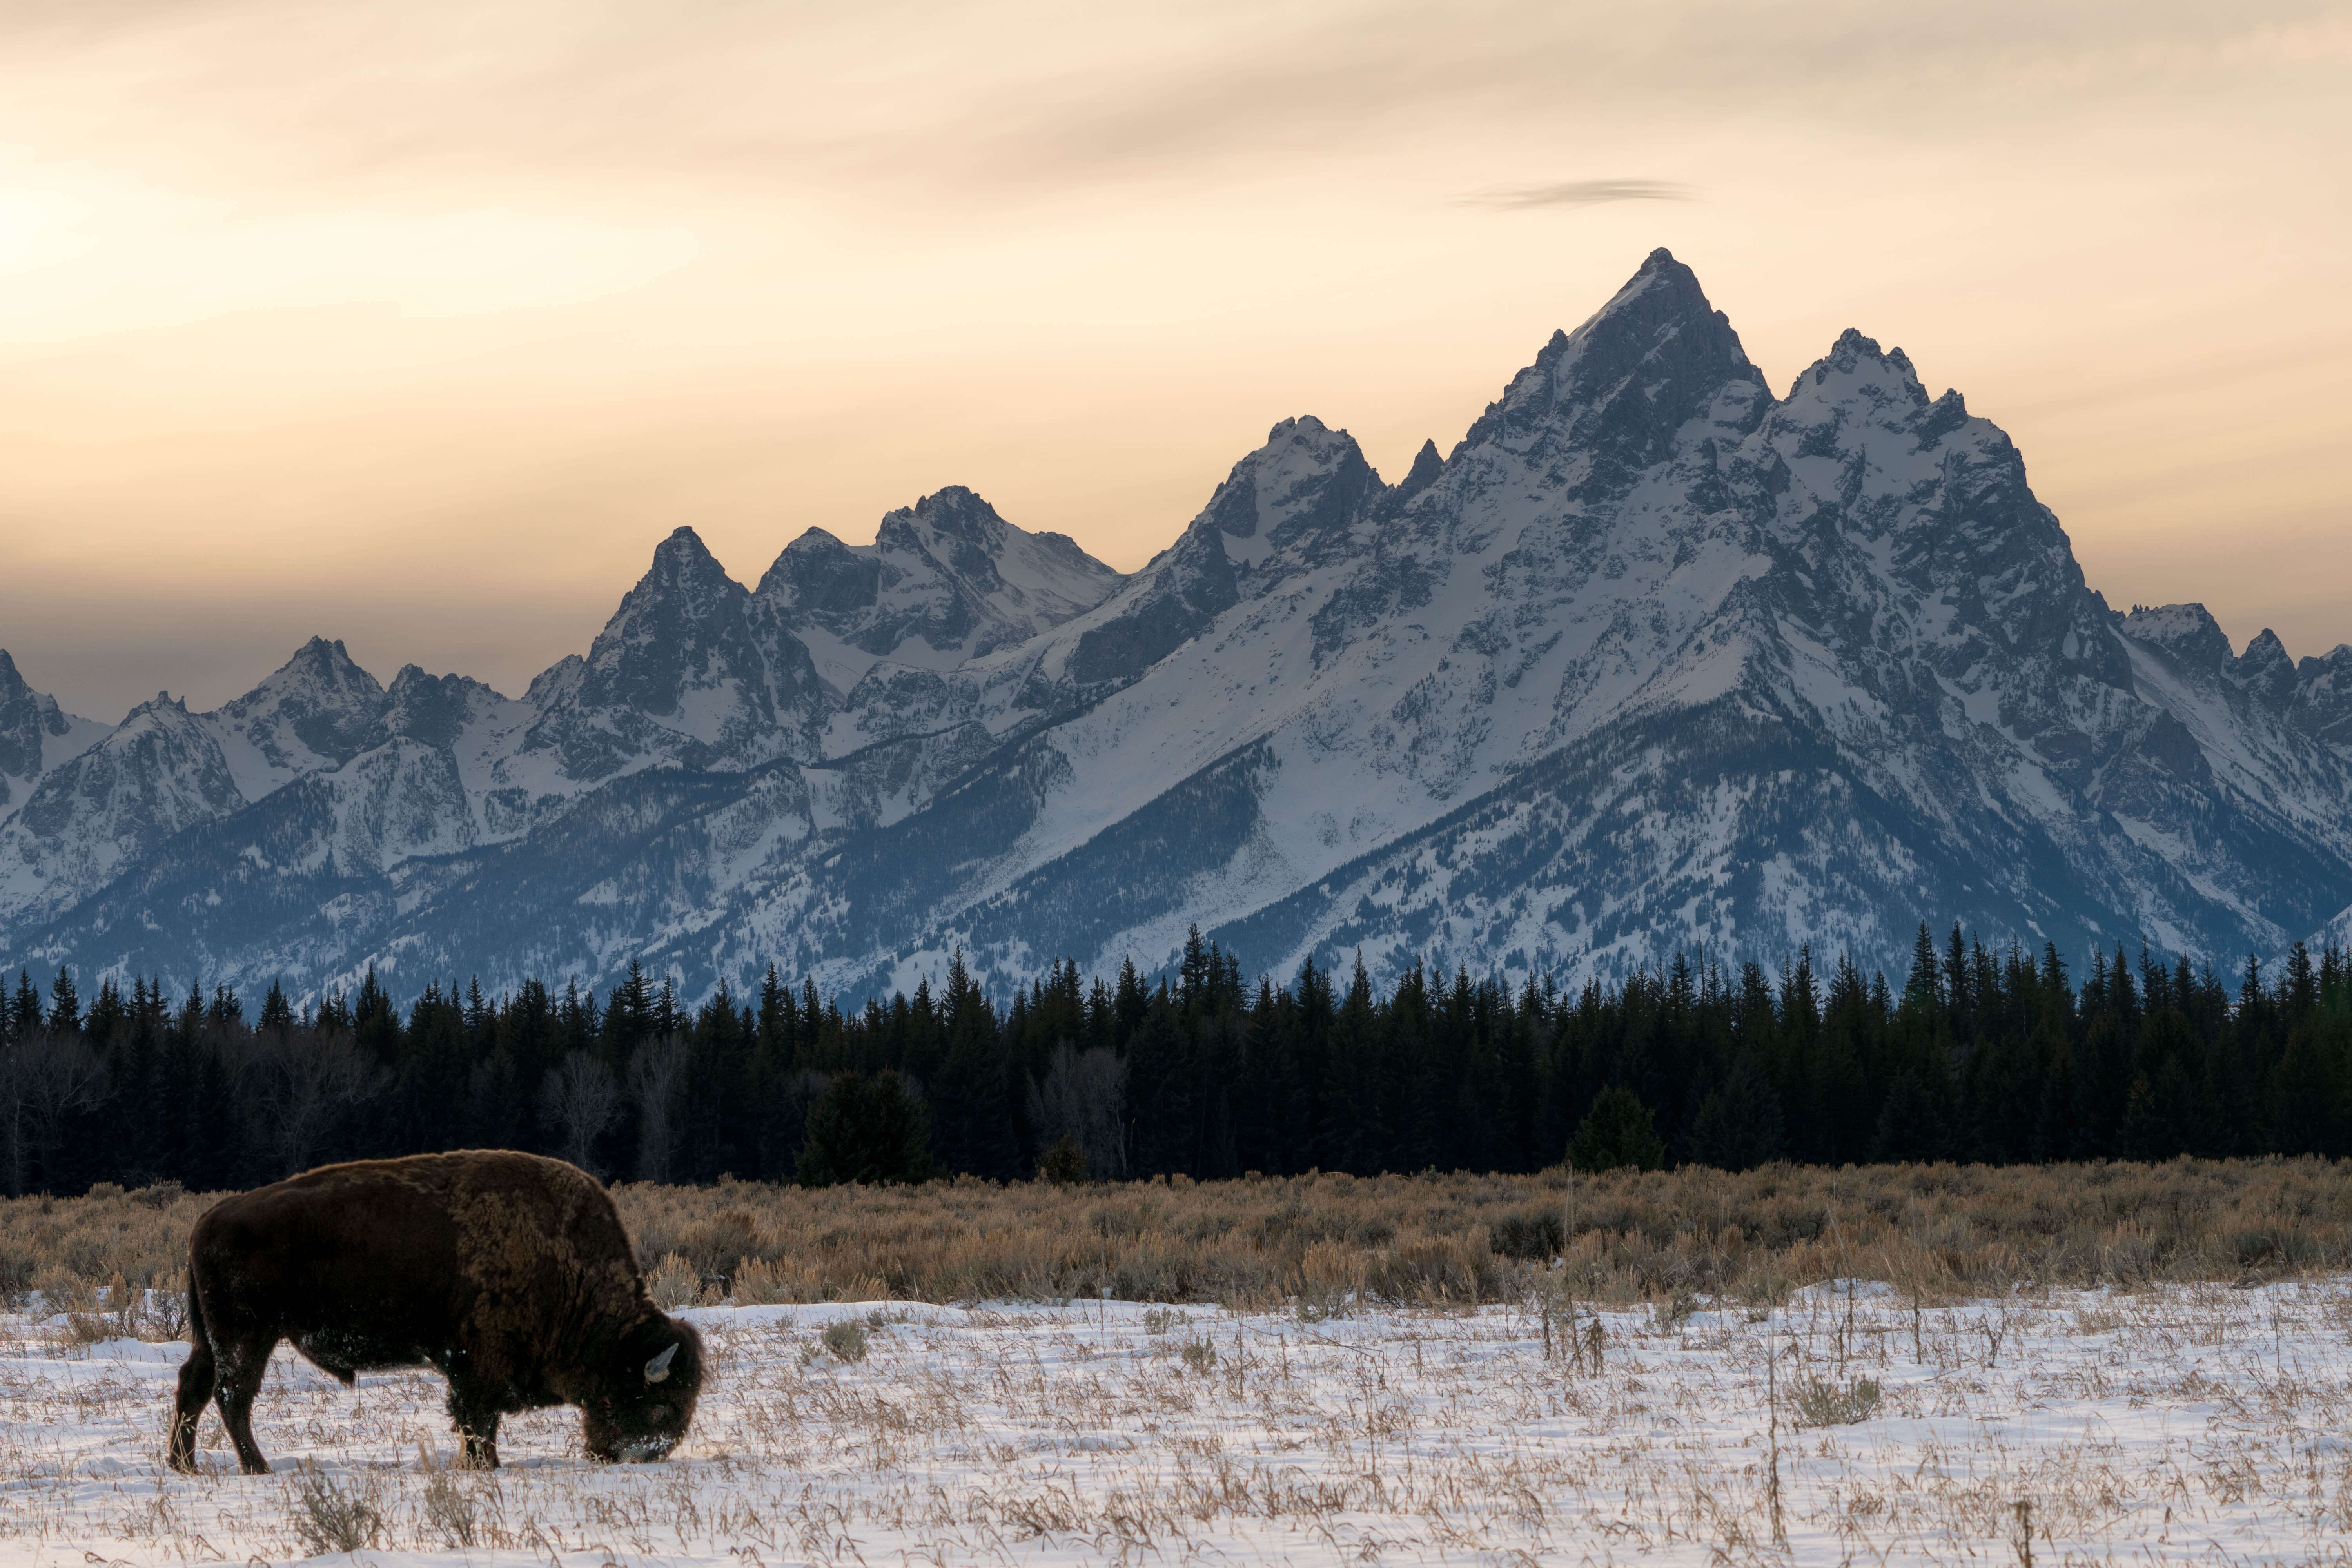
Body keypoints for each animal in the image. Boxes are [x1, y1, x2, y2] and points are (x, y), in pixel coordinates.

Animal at [166, 1152, 701, 1476]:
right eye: (660, 1406)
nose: (637, 1457)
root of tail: (207, 1219)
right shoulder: (478, 1365)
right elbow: (477, 1418)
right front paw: (484, 1465)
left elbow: (475, 1419)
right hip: (245, 1335)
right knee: (233, 1396)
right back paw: (256, 1467)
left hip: (213, 1336)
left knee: (195, 1386)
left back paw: (183, 1465)